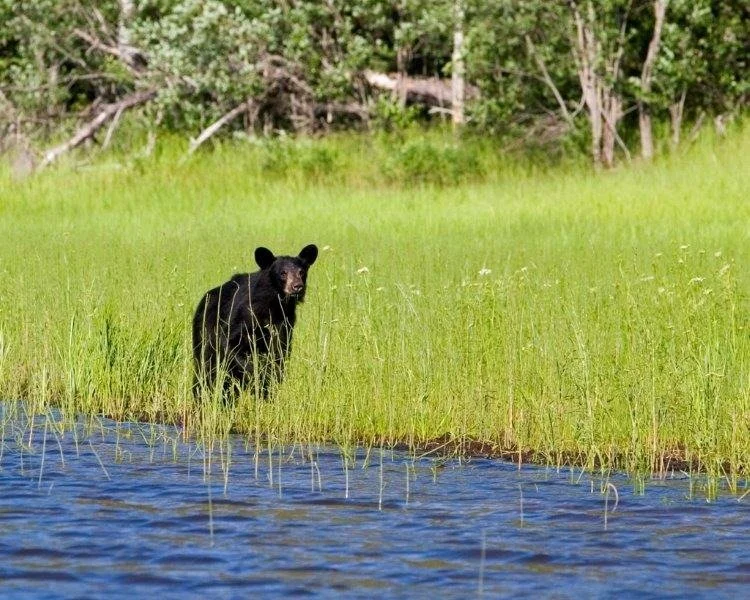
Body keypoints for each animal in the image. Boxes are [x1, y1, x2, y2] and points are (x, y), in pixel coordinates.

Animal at [192, 244, 318, 400]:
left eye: (301, 272)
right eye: (283, 273)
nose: (297, 286)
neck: (274, 303)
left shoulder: (283, 322)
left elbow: (279, 354)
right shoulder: (242, 316)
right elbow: (229, 343)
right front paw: (260, 380)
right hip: (203, 330)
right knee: (205, 367)